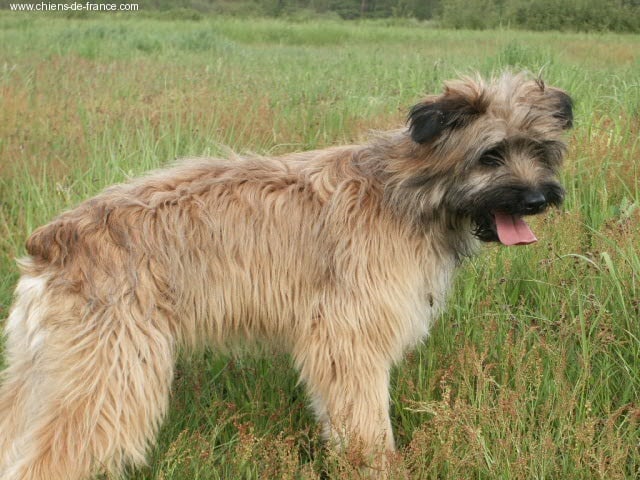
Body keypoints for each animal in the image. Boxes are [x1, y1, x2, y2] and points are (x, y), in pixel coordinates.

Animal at [0, 72, 572, 479]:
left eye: (540, 149)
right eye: (491, 154)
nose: (537, 199)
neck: (405, 192)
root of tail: (52, 242)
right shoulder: (348, 338)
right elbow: (365, 420)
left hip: (46, 373)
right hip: (110, 377)